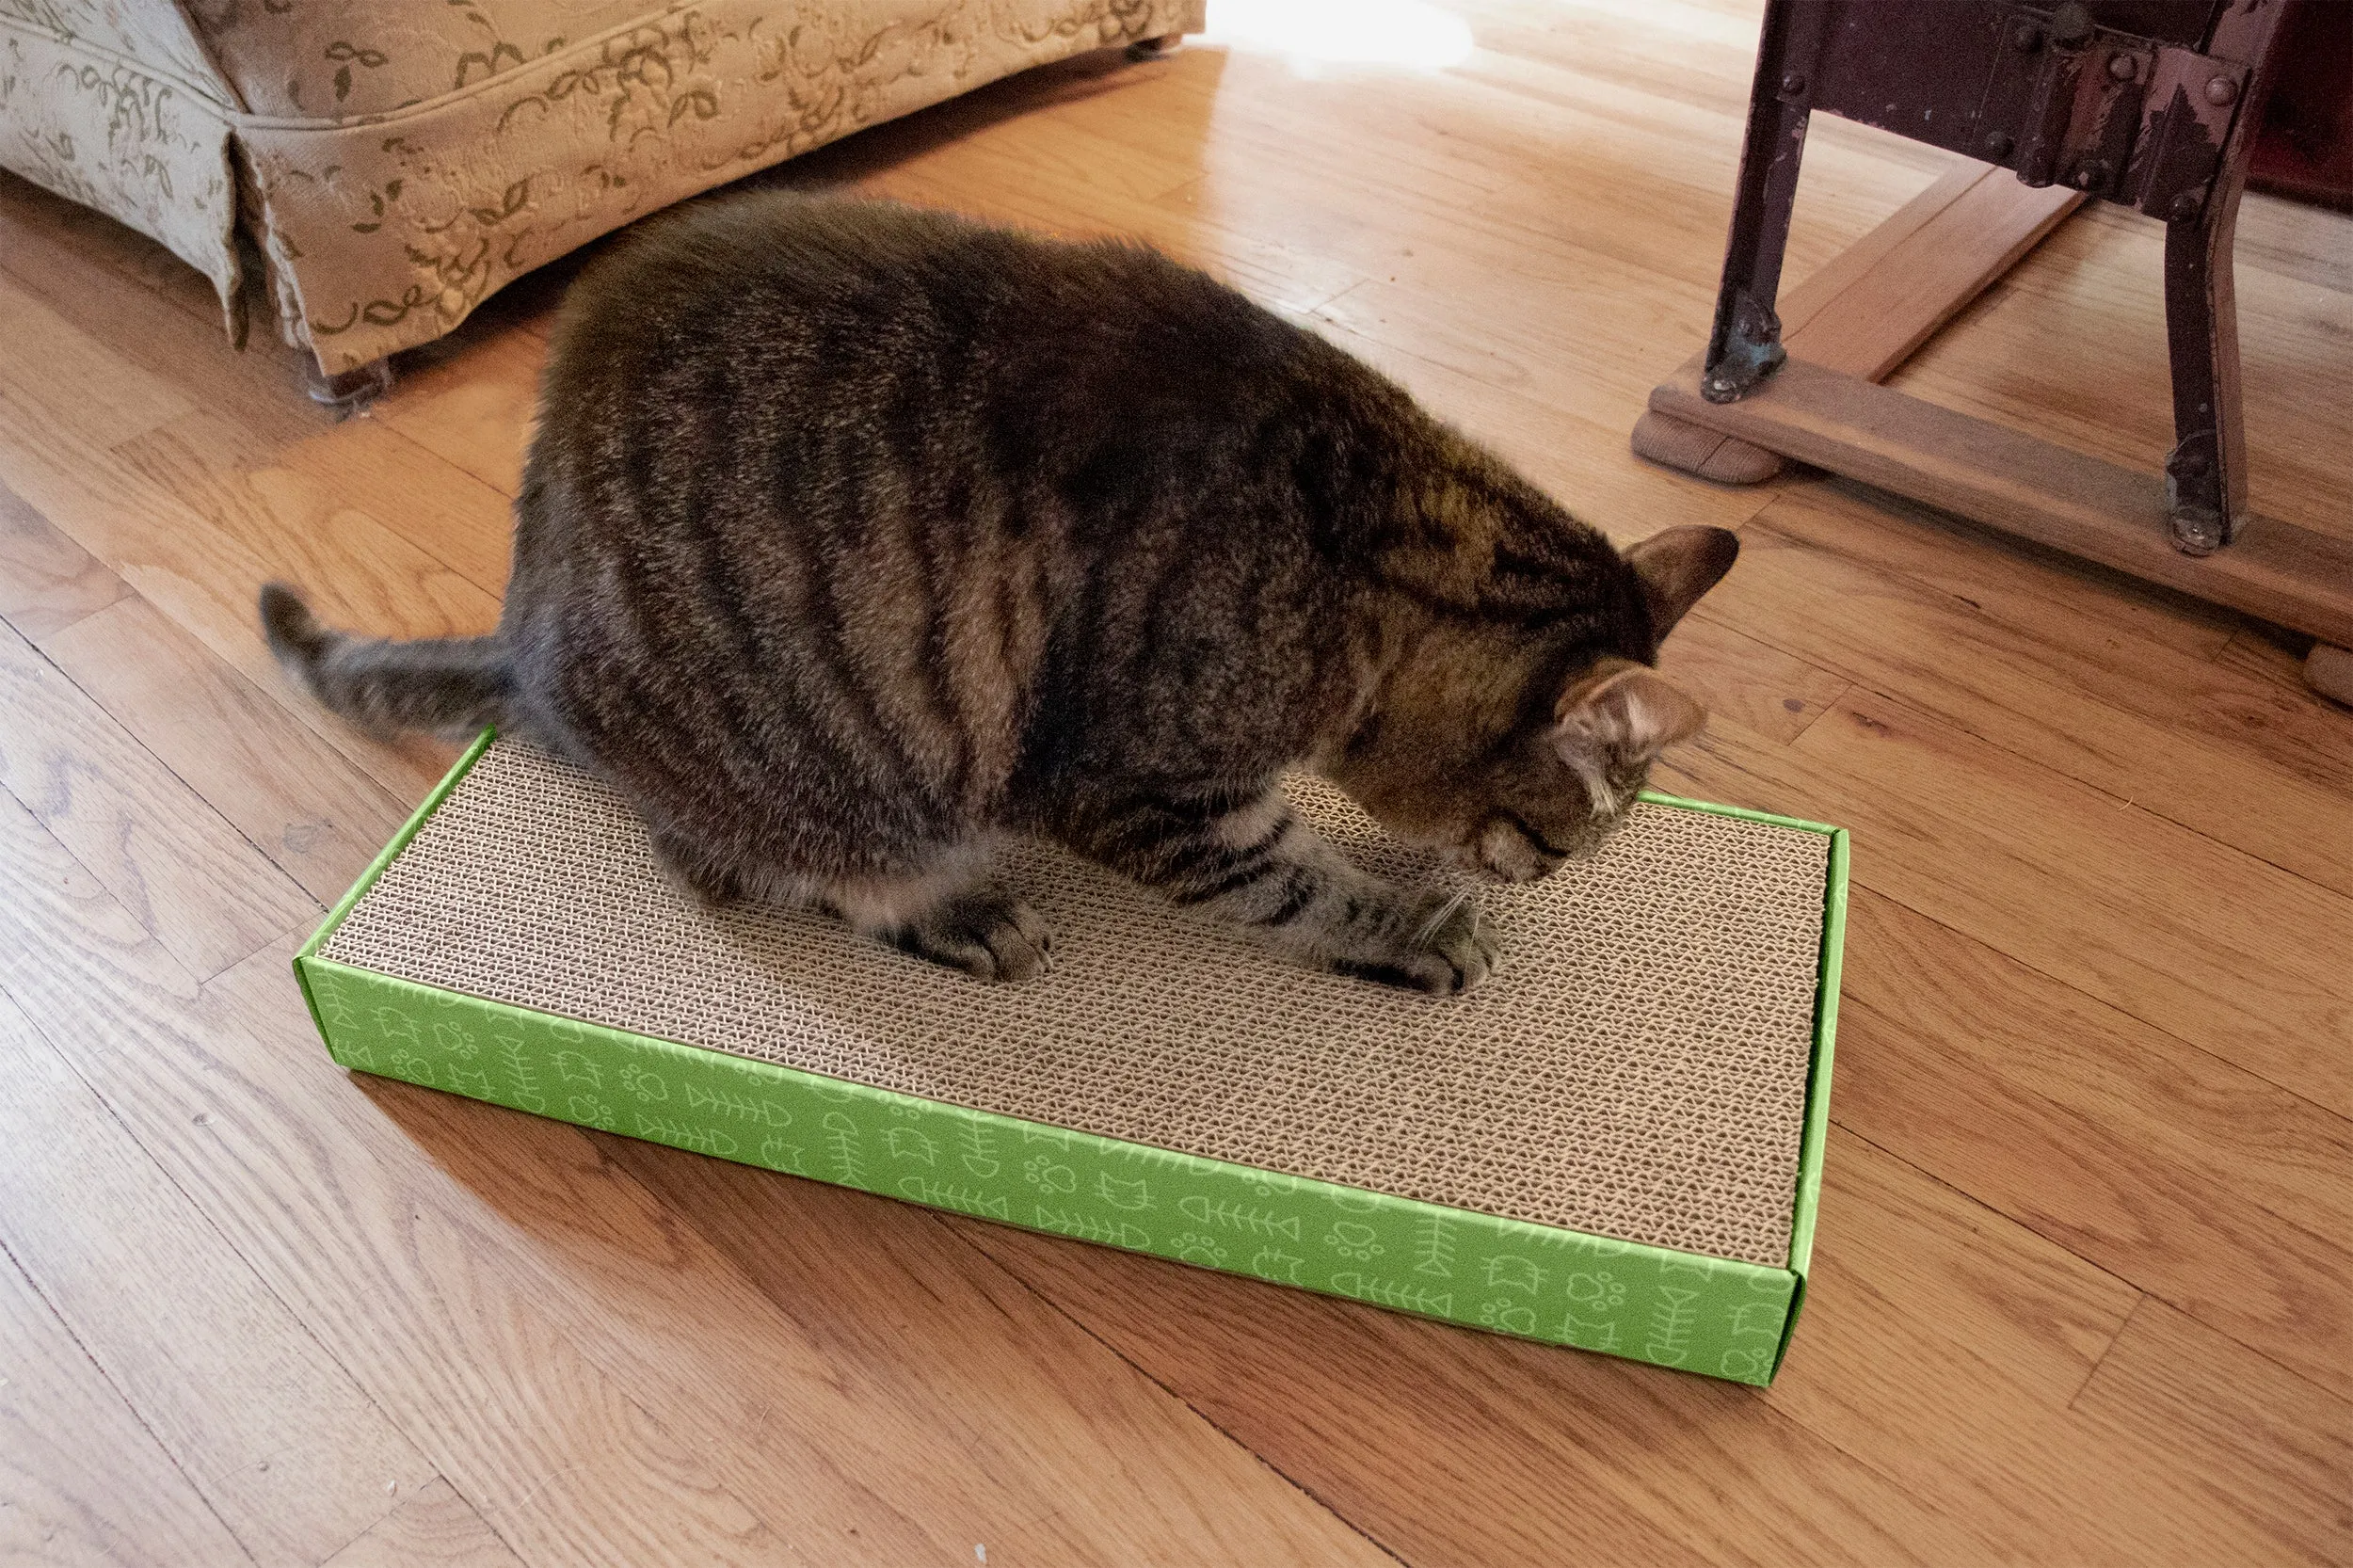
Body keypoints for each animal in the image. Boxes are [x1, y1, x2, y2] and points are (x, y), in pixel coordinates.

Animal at [262, 191, 1732, 988]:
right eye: (1564, 838)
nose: (1554, 876)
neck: (1356, 542)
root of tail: (522, 635)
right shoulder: (1136, 788)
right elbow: (1287, 882)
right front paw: (1408, 921)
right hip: (830, 782)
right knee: (749, 868)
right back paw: (953, 908)